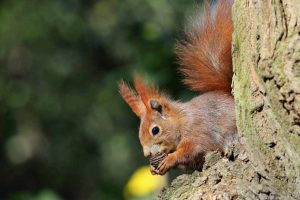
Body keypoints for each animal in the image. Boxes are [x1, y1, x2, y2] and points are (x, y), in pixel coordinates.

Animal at [118, 0, 237, 175]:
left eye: (155, 130)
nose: (147, 154)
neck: (182, 120)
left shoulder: (198, 129)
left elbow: (192, 149)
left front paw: (170, 159)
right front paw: (154, 168)